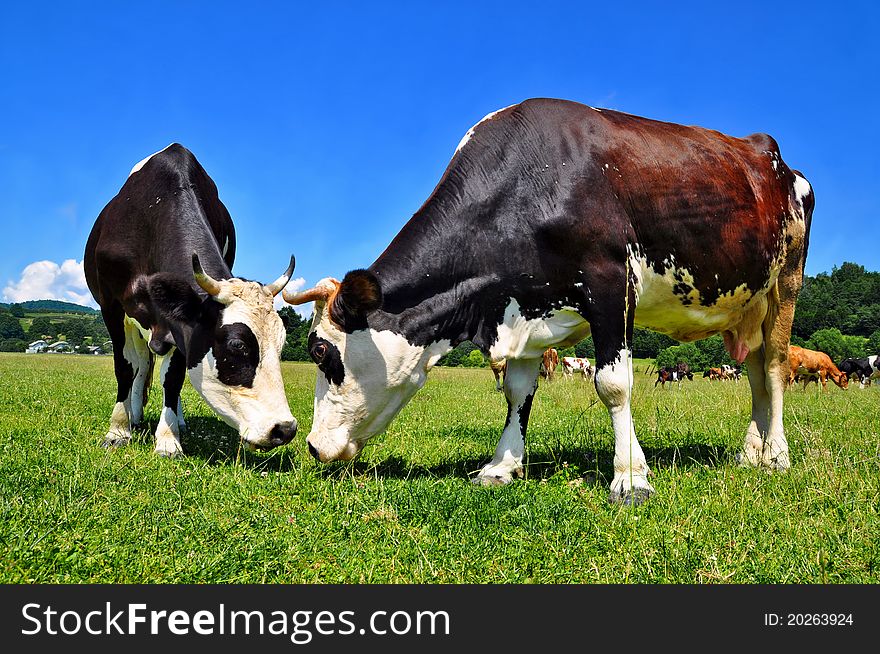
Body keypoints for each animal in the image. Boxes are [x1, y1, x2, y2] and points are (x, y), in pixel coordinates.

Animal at [86, 144, 300, 456]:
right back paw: (134, 415)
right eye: (237, 345)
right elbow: (125, 368)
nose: (284, 429)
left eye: (281, 345)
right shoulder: (111, 307)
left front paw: (167, 437)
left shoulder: (181, 322)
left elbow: (172, 377)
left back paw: (177, 419)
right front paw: (117, 431)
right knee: (140, 364)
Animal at [284, 98, 812, 508]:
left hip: (785, 283)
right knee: (754, 372)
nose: (312, 446)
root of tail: (773, 156)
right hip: (745, 306)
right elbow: (517, 393)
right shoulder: (524, 305)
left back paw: (777, 456)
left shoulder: (611, 283)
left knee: (774, 369)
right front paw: (501, 465)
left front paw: (630, 479)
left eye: (320, 350)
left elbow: (613, 385)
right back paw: (750, 453)